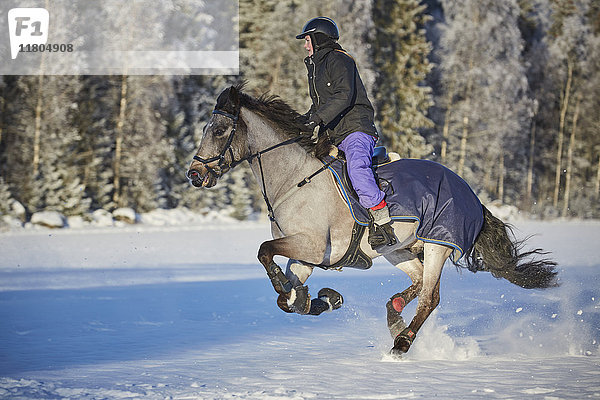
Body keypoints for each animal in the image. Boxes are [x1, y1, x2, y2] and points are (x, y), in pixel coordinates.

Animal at [188, 85, 556, 356]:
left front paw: (294, 289)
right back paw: (395, 313)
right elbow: (287, 299)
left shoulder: (312, 245)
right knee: (418, 283)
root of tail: (473, 196)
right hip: (400, 249)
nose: (195, 174)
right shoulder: (305, 256)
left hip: (438, 243)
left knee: (430, 297)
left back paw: (402, 342)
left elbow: (265, 251)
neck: (294, 179)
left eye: (219, 129)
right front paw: (319, 299)